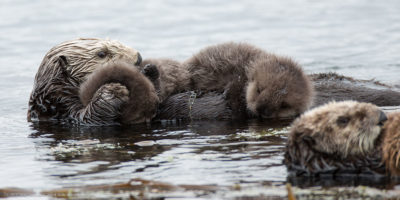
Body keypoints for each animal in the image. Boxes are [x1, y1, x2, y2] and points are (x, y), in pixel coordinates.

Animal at [26, 37, 157, 125]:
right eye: (102, 53)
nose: (138, 58)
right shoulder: (62, 111)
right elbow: (88, 118)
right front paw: (113, 90)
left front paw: (148, 70)